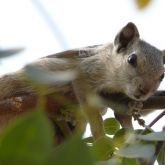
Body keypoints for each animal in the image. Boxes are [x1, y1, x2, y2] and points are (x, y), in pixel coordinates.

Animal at [0, 21, 164, 141]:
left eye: (162, 76)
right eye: (131, 59)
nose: (144, 91)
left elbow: (123, 111)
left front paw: (136, 105)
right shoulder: (87, 70)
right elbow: (89, 104)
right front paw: (99, 135)